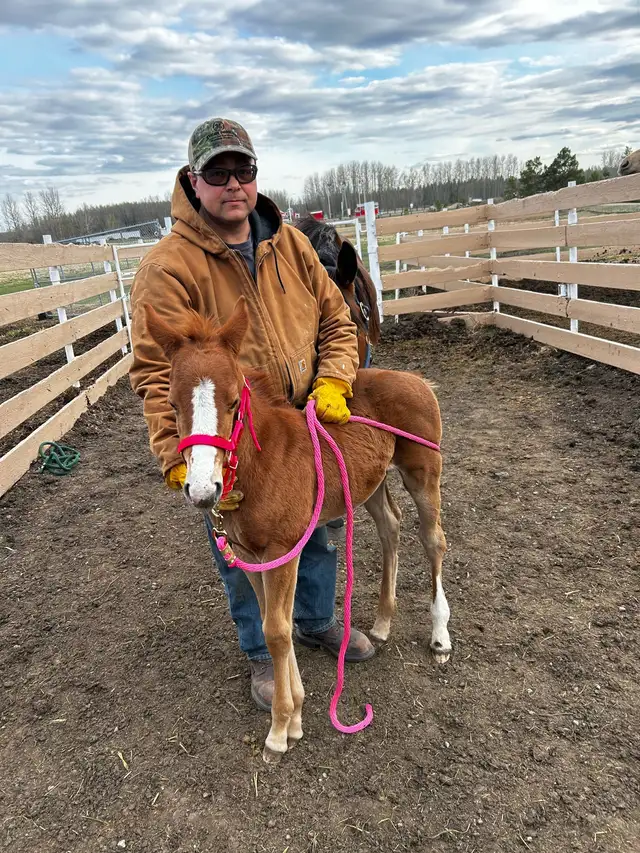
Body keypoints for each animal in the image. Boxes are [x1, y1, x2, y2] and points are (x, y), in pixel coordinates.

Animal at [144, 296, 451, 763]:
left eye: (233, 402)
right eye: (173, 405)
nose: (200, 490)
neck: (263, 462)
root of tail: (417, 380)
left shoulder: (282, 549)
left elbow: (277, 629)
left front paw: (280, 729)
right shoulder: (249, 556)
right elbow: (274, 625)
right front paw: (297, 714)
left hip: (423, 471)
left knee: (433, 539)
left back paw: (440, 637)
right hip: (369, 482)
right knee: (390, 527)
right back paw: (382, 624)